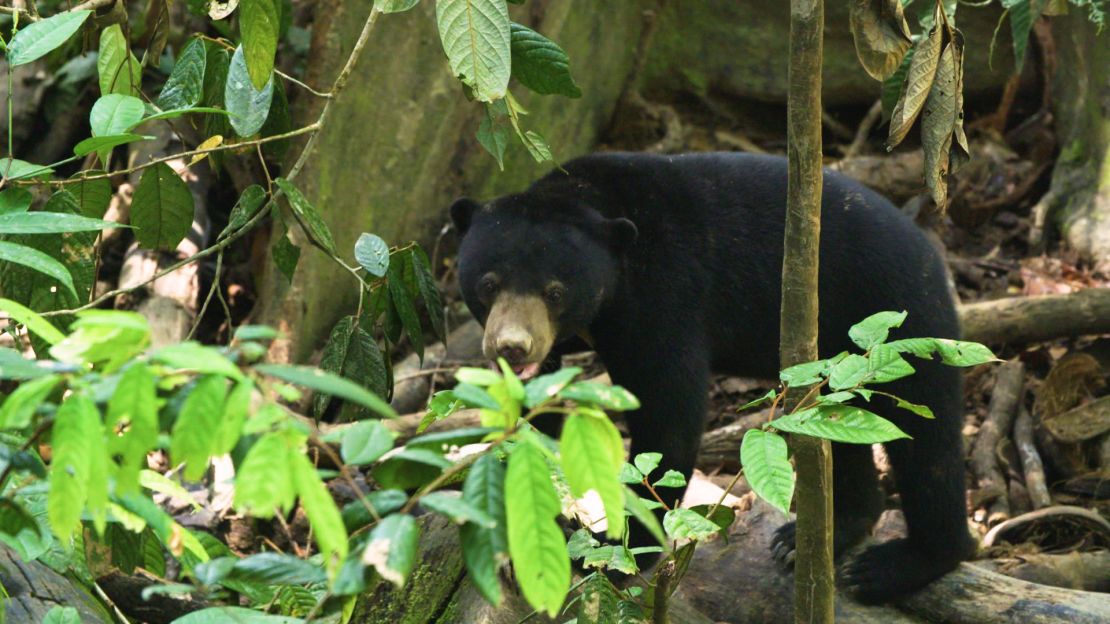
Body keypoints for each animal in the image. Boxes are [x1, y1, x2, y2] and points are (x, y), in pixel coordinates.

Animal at [450, 151, 973, 603]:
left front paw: (612, 547)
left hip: (900, 318)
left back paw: (895, 565)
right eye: (488, 283)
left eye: (555, 292)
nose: (512, 347)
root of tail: (932, 253)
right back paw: (816, 535)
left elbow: (668, 408)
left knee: (929, 440)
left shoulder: (665, 293)